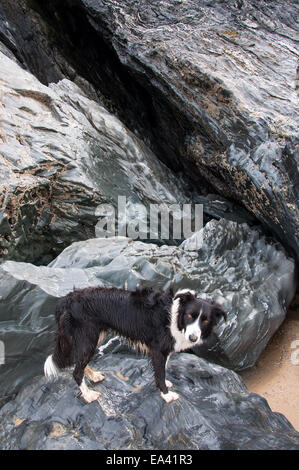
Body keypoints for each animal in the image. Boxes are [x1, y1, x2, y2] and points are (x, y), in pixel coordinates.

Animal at [44, 286, 226, 404]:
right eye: (189, 316)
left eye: (205, 320)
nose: (193, 338)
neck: (175, 317)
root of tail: (65, 301)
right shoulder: (158, 349)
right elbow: (160, 372)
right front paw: (166, 395)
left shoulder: (164, 349)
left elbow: (163, 370)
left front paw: (165, 385)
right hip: (87, 337)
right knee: (76, 371)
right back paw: (88, 395)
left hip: (92, 337)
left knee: (79, 362)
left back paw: (93, 376)